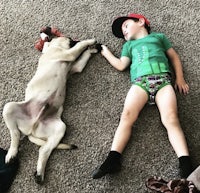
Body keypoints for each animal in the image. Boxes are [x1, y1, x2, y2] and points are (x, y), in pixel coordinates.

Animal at [2, 34, 99, 184]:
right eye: (70, 39)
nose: (72, 38)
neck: (55, 47)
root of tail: (32, 128)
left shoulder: (75, 66)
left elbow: (83, 57)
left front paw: (92, 50)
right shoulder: (67, 54)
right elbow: (79, 48)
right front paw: (90, 42)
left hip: (59, 128)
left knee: (44, 150)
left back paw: (39, 173)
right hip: (9, 107)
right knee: (15, 134)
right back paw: (12, 154)